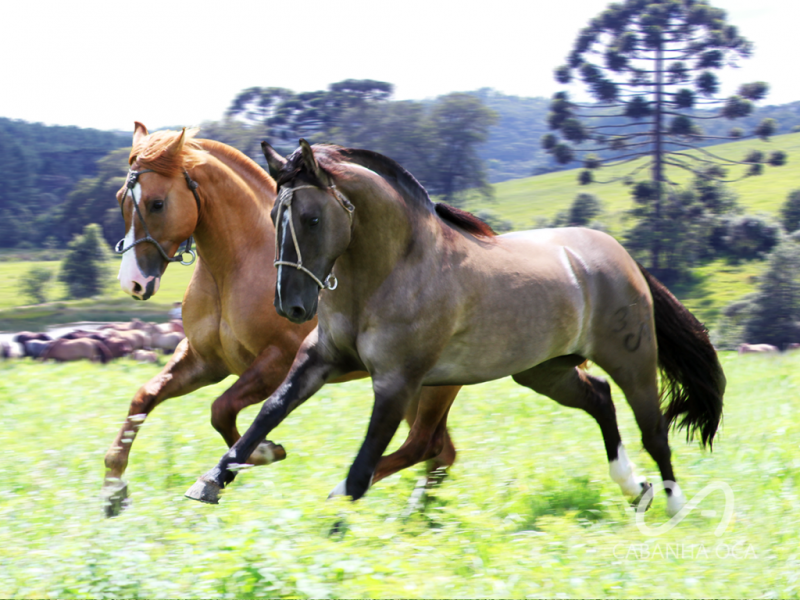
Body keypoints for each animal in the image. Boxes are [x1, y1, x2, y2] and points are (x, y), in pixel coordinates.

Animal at [103, 123, 460, 516]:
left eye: (157, 203)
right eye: (121, 198)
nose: (133, 283)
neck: (236, 266)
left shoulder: (277, 360)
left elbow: (222, 409)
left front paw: (261, 452)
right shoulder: (204, 361)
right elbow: (144, 398)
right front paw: (114, 490)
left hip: (426, 387)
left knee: (428, 446)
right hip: (411, 389)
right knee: (440, 452)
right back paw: (416, 514)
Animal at [186, 139, 724, 516]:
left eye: (312, 218)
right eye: (273, 214)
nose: (291, 307)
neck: (387, 273)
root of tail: (621, 256)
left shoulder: (397, 383)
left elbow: (361, 469)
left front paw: (336, 512)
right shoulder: (320, 360)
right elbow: (268, 412)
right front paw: (213, 479)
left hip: (630, 359)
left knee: (653, 427)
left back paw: (673, 503)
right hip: (544, 370)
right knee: (598, 399)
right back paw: (635, 488)